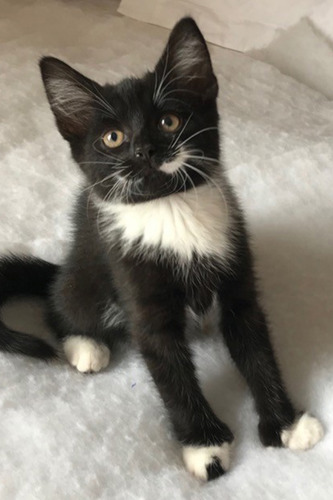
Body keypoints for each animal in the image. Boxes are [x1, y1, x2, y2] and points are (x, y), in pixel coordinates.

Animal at [0, 18, 322, 480]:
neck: (171, 210)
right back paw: (85, 344)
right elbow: (171, 373)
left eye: (169, 121)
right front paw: (206, 447)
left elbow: (256, 345)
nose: (145, 150)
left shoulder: (236, 266)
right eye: (113, 137)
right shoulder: (135, 283)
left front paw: (286, 424)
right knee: (60, 302)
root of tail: (64, 265)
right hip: (87, 271)